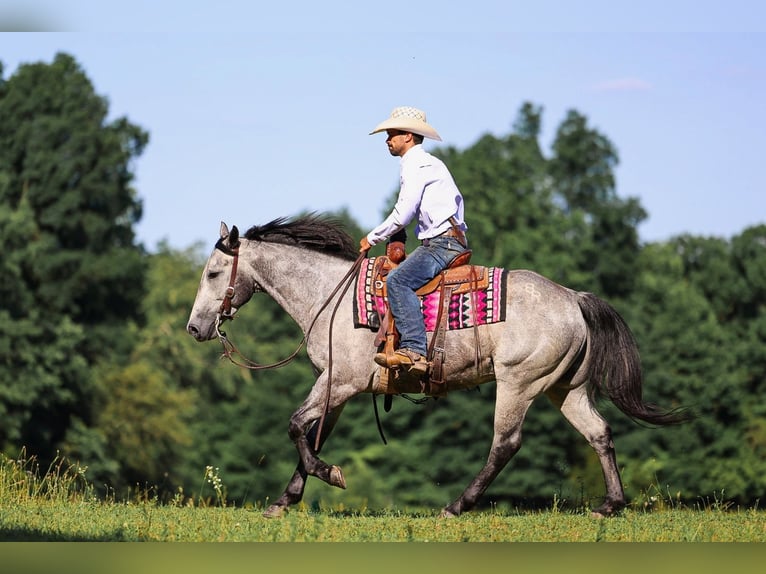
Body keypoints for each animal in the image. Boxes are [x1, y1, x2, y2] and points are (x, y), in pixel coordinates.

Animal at [186, 214, 689, 518]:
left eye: (213, 273)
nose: (195, 327)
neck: (331, 298)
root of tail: (573, 298)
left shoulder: (342, 382)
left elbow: (295, 426)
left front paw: (330, 475)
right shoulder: (335, 389)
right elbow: (312, 435)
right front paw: (286, 499)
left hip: (519, 383)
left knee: (505, 444)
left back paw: (456, 505)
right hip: (565, 388)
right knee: (599, 433)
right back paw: (611, 504)